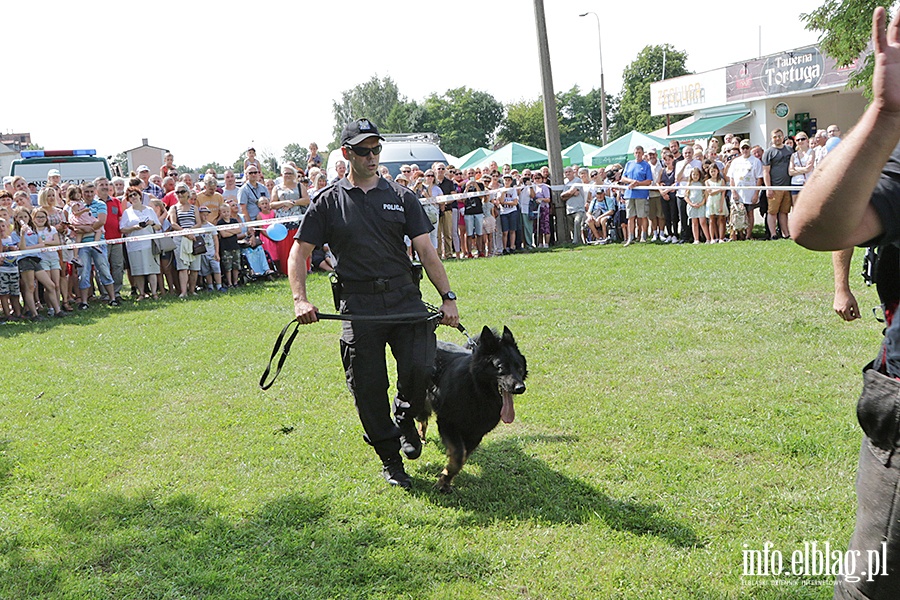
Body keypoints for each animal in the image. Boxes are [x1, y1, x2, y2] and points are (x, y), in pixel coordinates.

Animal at [420, 328, 532, 492]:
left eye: (519, 367)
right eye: (501, 367)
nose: (520, 388)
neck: (476, 391)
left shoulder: (476, 434)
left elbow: (461, 458)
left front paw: (445, 480)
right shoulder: (447, 423)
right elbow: (458, 455)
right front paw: (443, 481)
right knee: (421, 418)